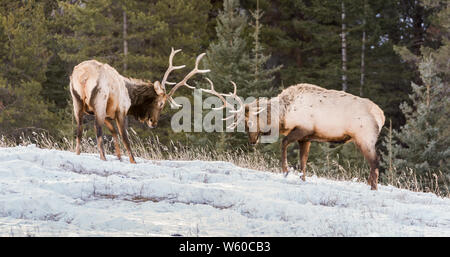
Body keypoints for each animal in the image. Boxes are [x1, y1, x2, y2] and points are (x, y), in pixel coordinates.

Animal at [69, 48, 210, 162]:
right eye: (161, 103)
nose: (154, 122)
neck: (132, 98)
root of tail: (83, 76)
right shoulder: (120, 110)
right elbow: (124, 137)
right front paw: (132, 160)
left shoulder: (108, 114)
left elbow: (114, 133)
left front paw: (119, 157)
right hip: (99, 100)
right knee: (97, 130)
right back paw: (103, 158)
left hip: (77, 101)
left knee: (79, 129)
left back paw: (78, 153)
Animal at [202, 80, 384, 190]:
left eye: (249, 122)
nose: (252, 141)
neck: (283, 115)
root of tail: (381, 116)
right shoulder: (306, 138)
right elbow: (303, 161)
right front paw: (302, 179)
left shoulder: (303, 129)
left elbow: (283, 143)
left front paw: (285, 170)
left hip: (364, 137)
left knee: (375, 162)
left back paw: (373, 188)